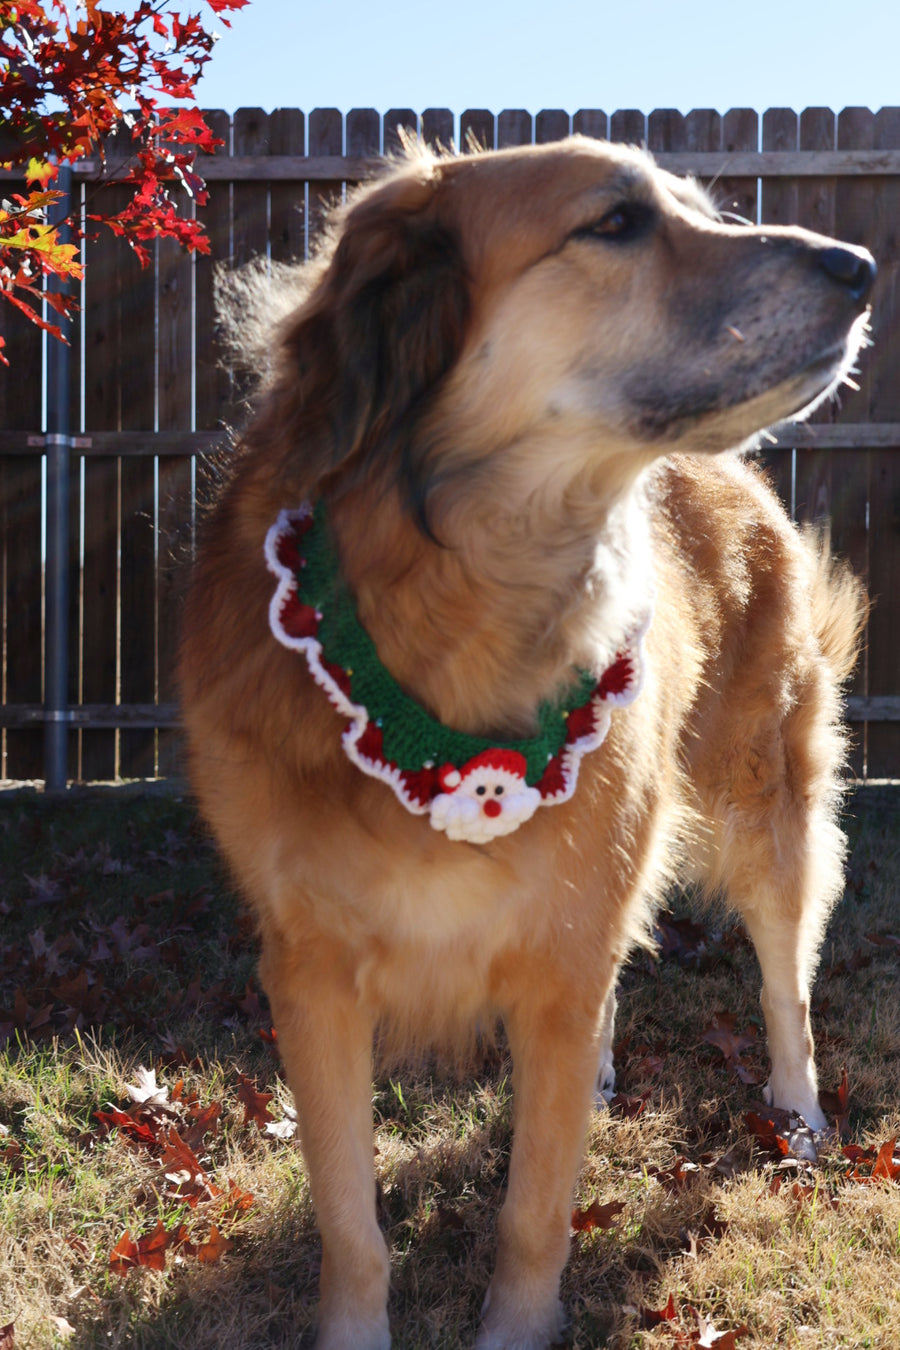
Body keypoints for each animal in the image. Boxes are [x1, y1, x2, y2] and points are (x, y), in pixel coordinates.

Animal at [179, 139, 874, 1350]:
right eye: (617, 222)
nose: (864, 267)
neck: (462, 610)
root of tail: (733, 477)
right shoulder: (311, 975)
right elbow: (350, 1219)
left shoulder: (561, 944)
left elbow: (537, 1208)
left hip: (763, 806)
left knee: (784, 976)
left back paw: (797, 1112)